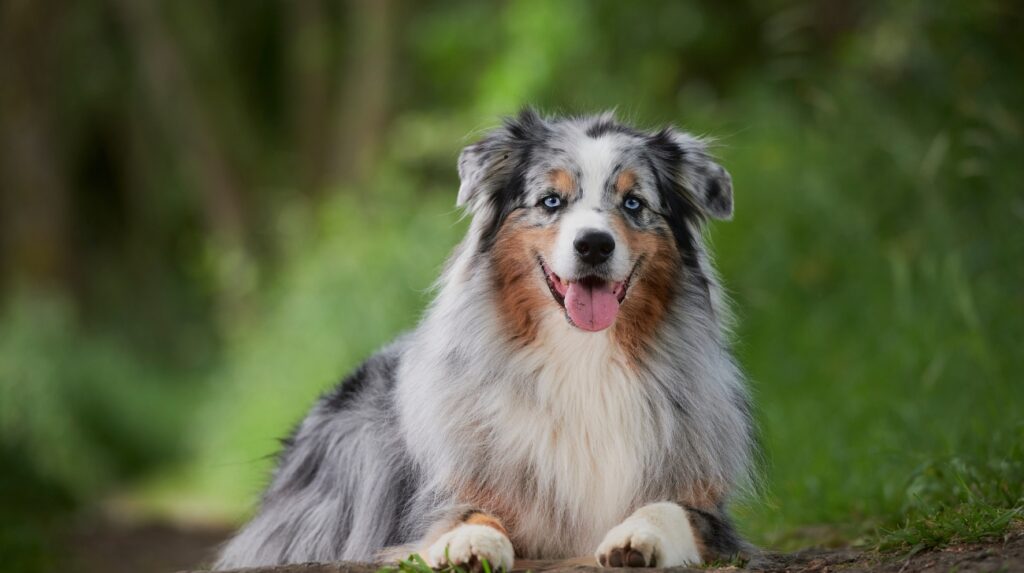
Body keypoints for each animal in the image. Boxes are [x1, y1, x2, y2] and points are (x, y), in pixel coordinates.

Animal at [216, 109, 757, 568]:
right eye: (551, 201)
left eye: (633, 203)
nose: (594, 245)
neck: (582, 356)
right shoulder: (443, 495)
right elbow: (467, 513)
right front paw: (471, 544)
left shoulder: (710, 511)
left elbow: (672, 508)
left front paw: (636, 536)